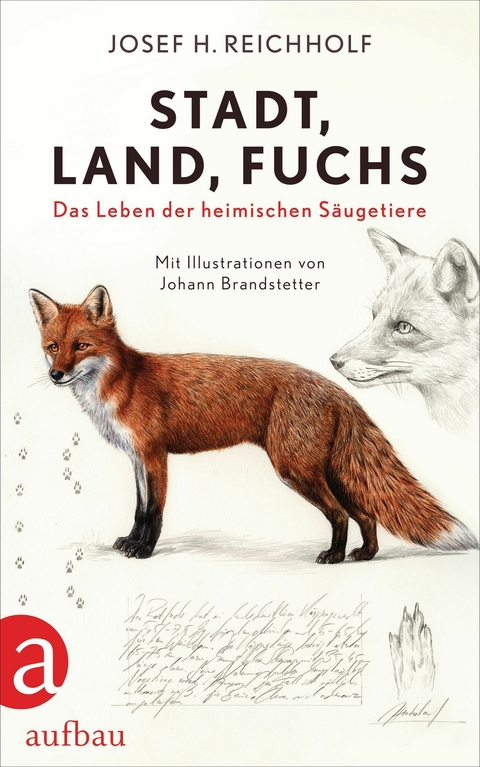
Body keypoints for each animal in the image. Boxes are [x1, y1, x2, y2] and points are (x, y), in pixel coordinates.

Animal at [29, 285, 478, 562]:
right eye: (52, 347)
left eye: (81, 346)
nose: (56, 374)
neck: (121, 384)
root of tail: (335, 387)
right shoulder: (137, 459)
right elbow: (140, 510)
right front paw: (130, 542)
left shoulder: (155, 455)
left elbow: (154, 512)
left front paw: (144, 551)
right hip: (328, 470)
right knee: (365, 514)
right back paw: (364, 555)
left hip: (295, 469)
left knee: (340, 514)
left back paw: (334, 556)